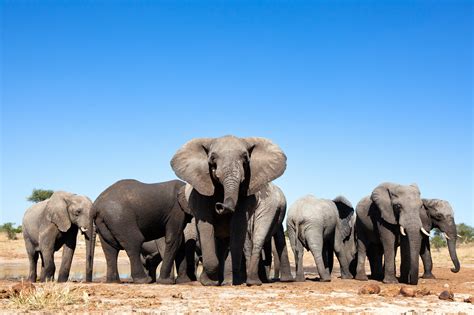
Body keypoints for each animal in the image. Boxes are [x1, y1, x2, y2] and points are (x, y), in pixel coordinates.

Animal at [170, 136, 288, 286]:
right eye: (212, 158)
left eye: (245, 158)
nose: (220, 205)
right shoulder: (201, 191)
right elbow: (206, 226)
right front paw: (209, 282)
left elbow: (237, 226)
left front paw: (231, 282)